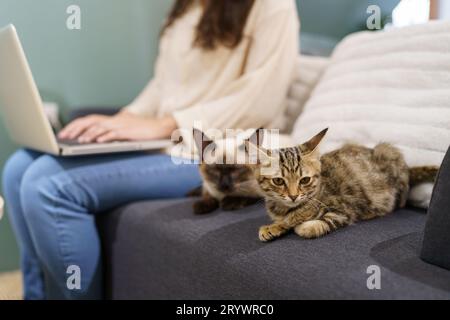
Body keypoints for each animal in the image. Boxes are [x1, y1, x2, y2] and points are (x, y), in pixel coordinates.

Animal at [246, 129, 440, 241]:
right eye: (278, 181)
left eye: (304, 180)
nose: (293, 196)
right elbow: (284, 220)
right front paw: (274, 227)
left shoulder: (344, 209)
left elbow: (318, 223)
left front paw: (302, 225)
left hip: (389, 154)